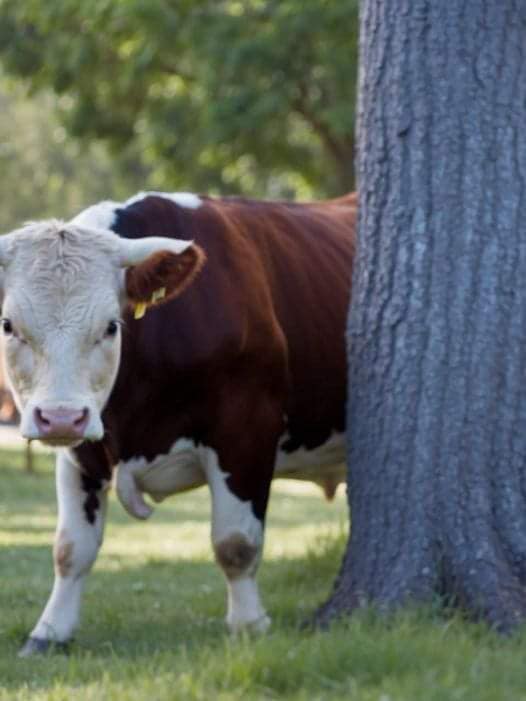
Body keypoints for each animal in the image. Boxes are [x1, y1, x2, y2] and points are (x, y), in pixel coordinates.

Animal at [1, 189, 358, 652]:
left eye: (111, 326)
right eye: (9, 325)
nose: (61, 417)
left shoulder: (246, 431)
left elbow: (235, 543)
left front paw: (249, 626)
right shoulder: (80, 451)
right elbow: (70, 549)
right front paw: (49, 633)